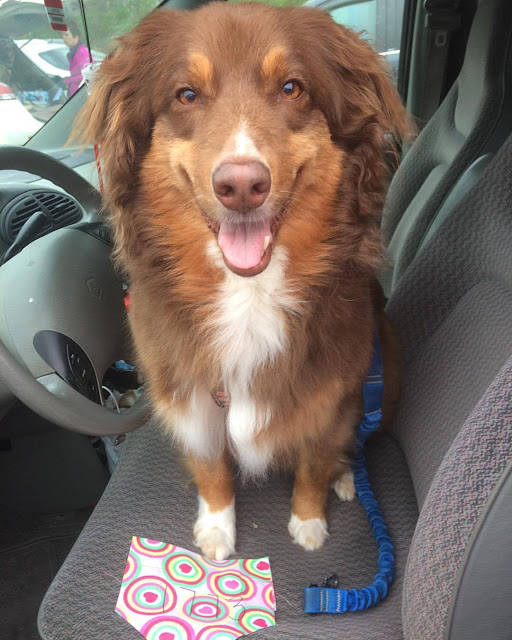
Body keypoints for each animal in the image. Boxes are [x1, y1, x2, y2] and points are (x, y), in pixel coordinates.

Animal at [77, 1, 409, 561]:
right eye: (186, 95)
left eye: (292, 88)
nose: (241, 186)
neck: (248, 292)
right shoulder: (189, 393)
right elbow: (212, 467)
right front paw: (216, 527)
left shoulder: (332, 396)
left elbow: (315, 462)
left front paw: (309, 520)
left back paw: (347, 477)